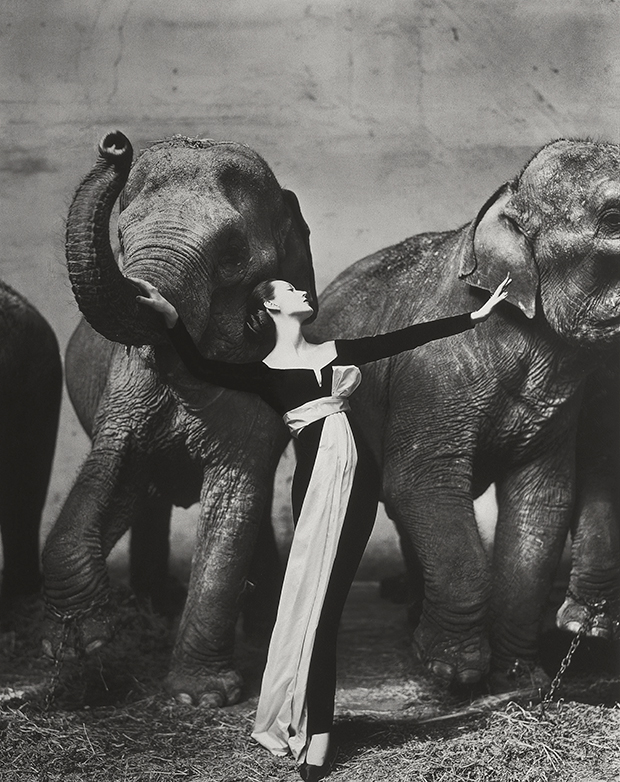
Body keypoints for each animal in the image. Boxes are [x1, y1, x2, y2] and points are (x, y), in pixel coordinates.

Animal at [41, 132, 318, 708]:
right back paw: (154, 606)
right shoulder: (125, 386)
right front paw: (81, 643)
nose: (115, 144)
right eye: (120, 239)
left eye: (233, 255)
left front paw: (198, 698)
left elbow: (236, 495)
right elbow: (113, 465)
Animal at [308, 138, 620, 688]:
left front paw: (520, 679)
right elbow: (422, 481)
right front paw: (452, 672)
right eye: (614, 217)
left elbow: (542, 501)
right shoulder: (432, 372)